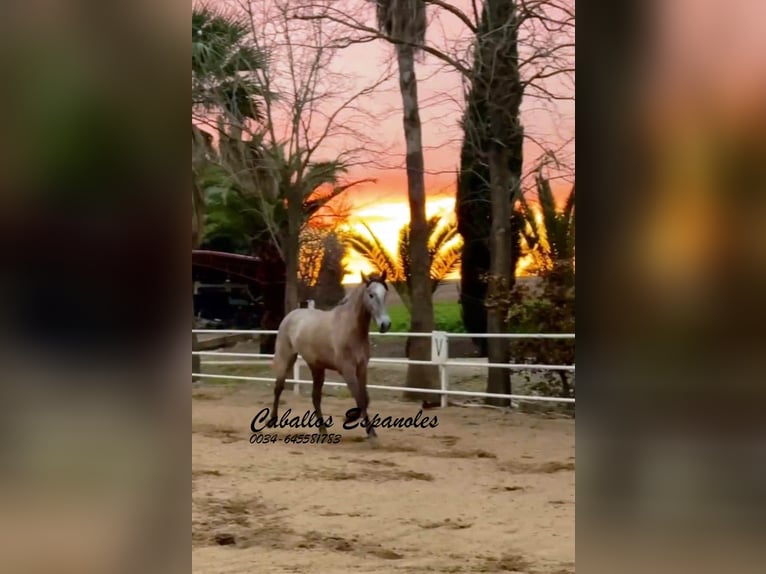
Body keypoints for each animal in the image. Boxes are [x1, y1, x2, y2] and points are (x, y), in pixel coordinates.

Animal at [268, 270, 392, 442]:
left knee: (315, 397)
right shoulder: (347, 370)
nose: (385, 324)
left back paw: (323, 430)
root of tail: (291, 315)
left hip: (317, 367)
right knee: (278, 387)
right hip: (286, 357)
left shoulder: (361, 368)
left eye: (385, 293)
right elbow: (360, 399)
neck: (351, 329)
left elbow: (365, 398)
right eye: (371, 294)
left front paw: (356, 422)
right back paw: (271, 421)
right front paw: (367, 431)